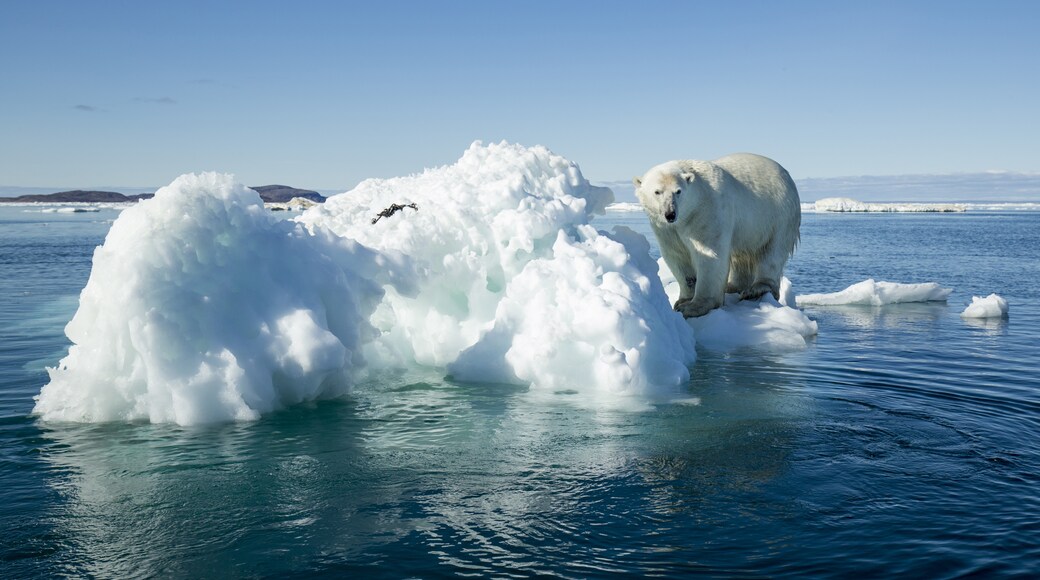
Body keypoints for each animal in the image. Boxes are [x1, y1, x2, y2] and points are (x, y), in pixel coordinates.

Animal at [628, 153, 798, 318]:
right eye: (657, 192)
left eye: (678, 191)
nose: (670, 214)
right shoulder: (666, 229)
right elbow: (677, 255)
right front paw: (682, 300)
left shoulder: (707, 211)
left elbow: (709, 254)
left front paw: (693, 307)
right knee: (741, 256)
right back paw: (732, 286)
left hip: (779, 213)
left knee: (773, 251)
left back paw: (756, 289)